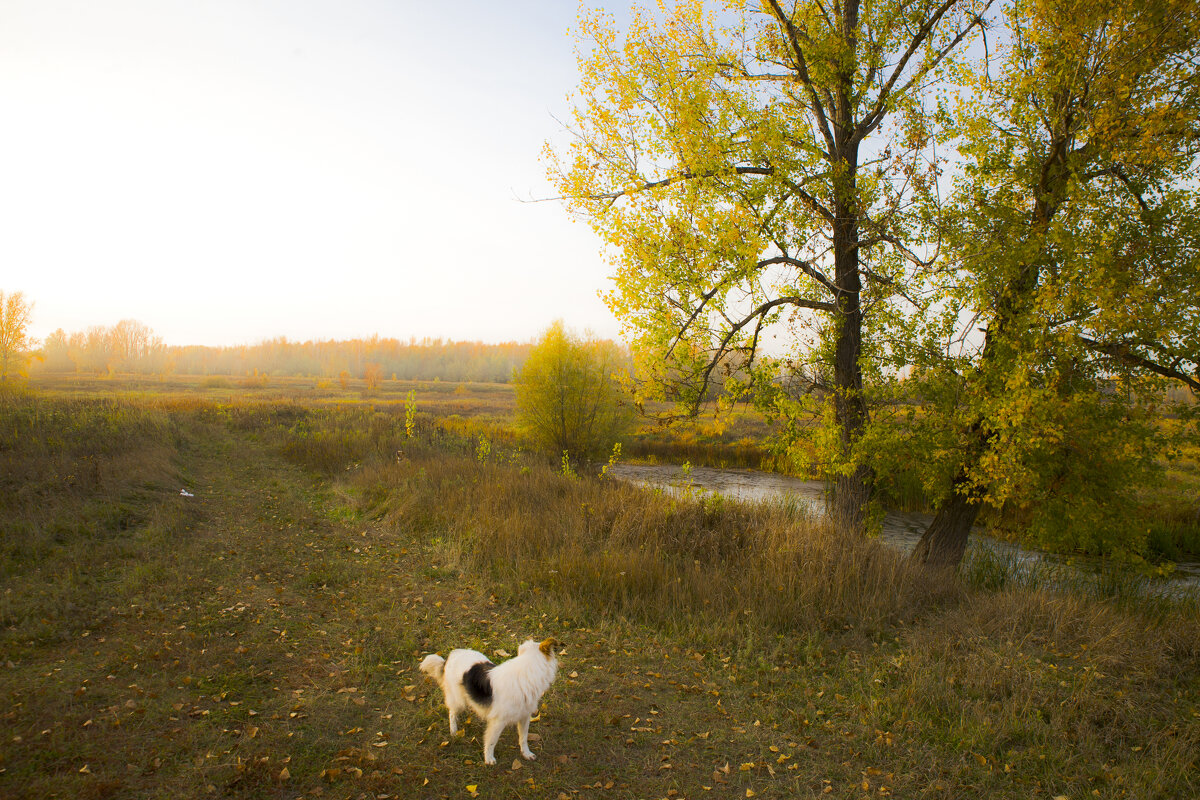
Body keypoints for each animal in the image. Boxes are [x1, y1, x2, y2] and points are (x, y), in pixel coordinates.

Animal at [420, 638, 559, 762]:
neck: (526, 673)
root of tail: (450, 656)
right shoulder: (498, 722)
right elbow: (492, 741)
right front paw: (489, 759)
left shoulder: (524, 716)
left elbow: (523, 737)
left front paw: (526, 753)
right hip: (458, 700)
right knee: (452, 713)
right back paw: (453, 731)